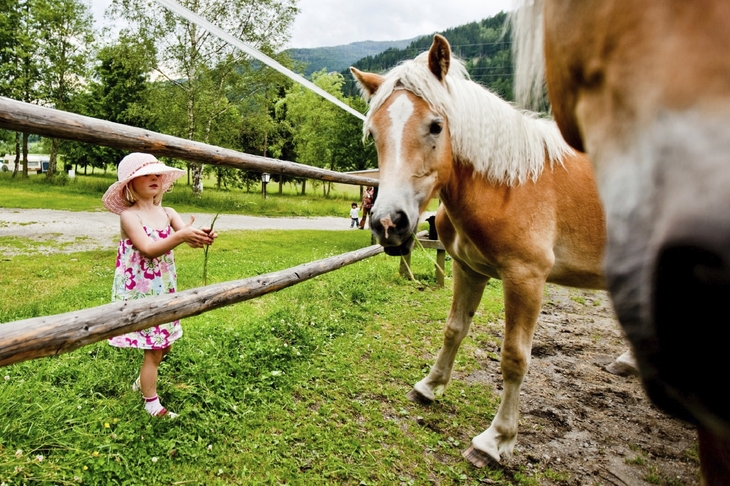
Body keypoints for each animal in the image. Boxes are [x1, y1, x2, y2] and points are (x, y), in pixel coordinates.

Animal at [351, 34, 620, 467]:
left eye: (436, 126)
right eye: (374, 133)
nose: (388, 223)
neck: (509, 185)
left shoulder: (526, 279)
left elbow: (514, 358)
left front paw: (495, 440)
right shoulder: (467, 269)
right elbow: (454, 329)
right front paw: (430, 386)